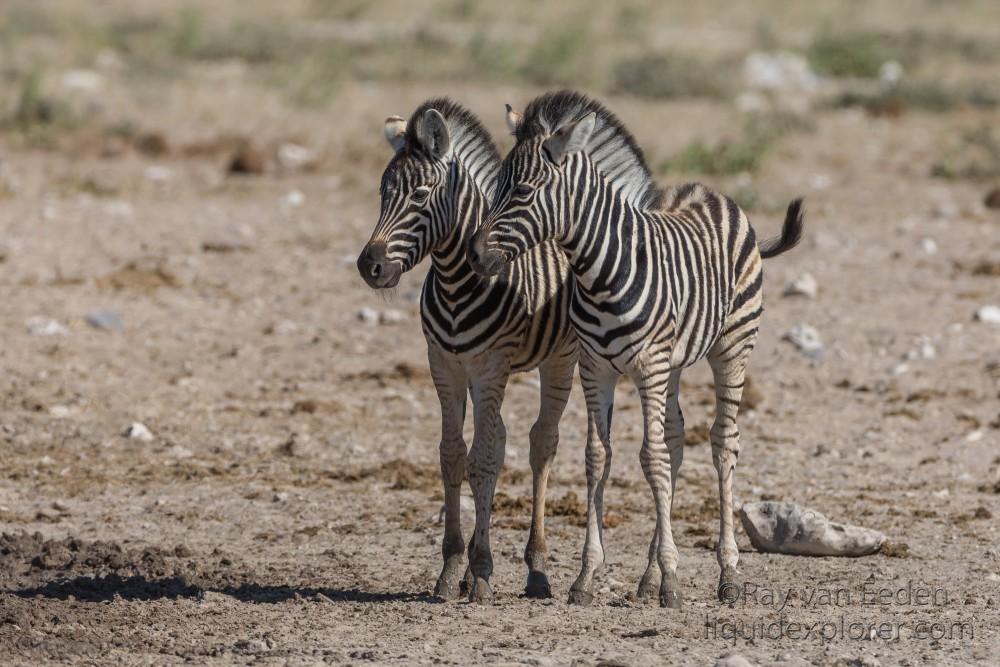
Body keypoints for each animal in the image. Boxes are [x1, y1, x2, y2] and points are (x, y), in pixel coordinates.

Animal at [360, 99, 580, 604]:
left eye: (421, 195)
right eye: (382, 193)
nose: (369, 265)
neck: (457, 281)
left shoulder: (490, 366)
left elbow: (480, 459)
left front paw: (480, 571)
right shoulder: (445, 365)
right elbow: (453, 454)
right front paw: (451, 568)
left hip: (560, 359)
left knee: (542, 442)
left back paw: (537, 570)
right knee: (498, 441)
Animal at [464, 90, 800, 612]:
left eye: (522, 191)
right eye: (497, 185)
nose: (476, 256)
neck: (600, 271)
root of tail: (711, 192)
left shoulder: (649, 367)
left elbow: (651, 458)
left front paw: (672, 580)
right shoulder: (595, 368)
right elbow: (598, 457)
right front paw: (588, 576)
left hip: (732, 346)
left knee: (722, 442)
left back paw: (728, 574)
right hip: (677, 362)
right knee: (677, 438)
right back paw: (647, 577)